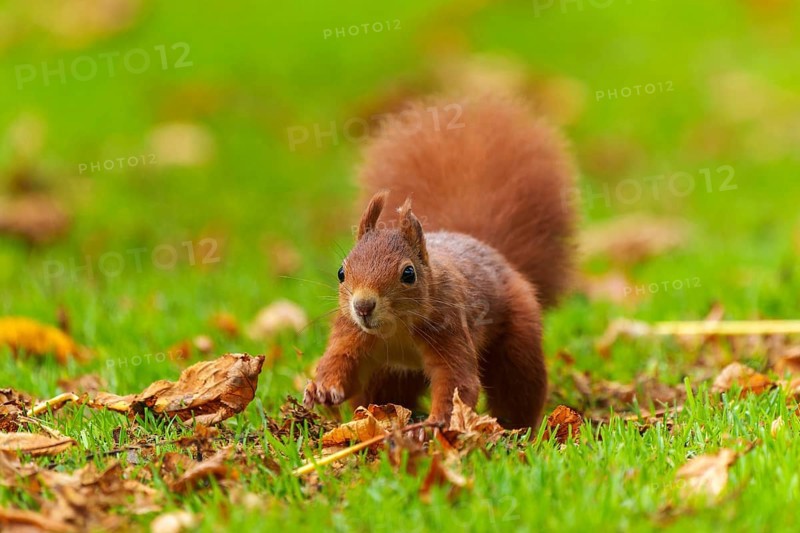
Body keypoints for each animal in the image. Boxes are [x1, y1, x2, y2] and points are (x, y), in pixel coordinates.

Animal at [303, 97, 576, 429]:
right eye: (342, 272)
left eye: (408, 273)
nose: (363, 306)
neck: (396, 332)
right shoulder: (351, 333)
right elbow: (341, 363)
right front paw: (322, 388)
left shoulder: (450, 327)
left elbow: (457, 381)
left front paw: (434, 427)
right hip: (386, 374)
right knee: (380, 394)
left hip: (517, 339)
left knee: (519, 387)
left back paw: (514, 428)